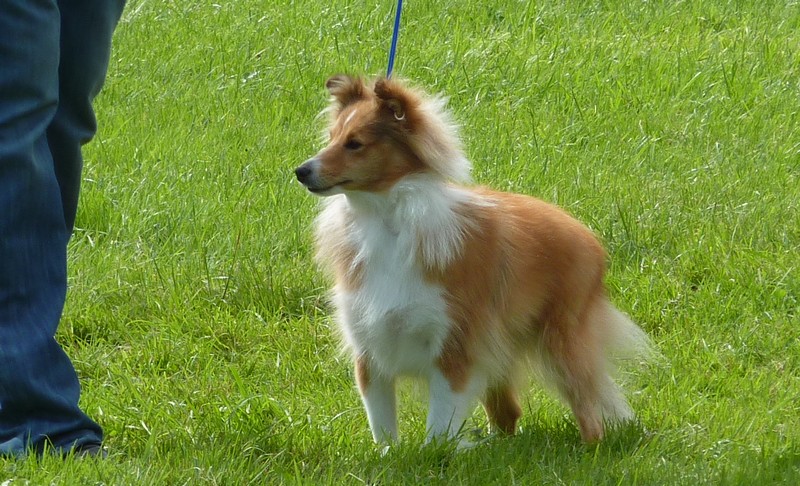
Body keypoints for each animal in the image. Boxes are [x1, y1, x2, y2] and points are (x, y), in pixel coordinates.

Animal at [294, 74, 648, 446]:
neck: (386, 219)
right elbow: (382, 423)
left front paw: (437, 451)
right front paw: (393, 453)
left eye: (355, 144)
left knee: (588, 411)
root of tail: (588, 237)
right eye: (331, 138)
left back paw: (588, 446)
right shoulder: (370, 349)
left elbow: (440, 423)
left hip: (562, 344)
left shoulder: (455, 346)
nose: (300, 171)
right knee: (508, 413)